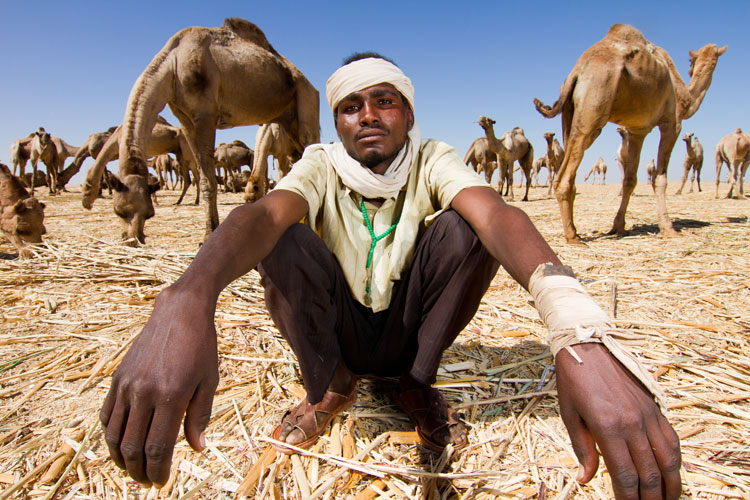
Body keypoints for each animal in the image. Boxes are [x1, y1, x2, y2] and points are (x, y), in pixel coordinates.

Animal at [94, 20, 318, 243]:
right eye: (118, 211)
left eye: (149, 213)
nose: (133, 239)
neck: (173, 64)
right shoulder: (184, 119)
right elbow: (202, 178)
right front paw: (209, 230)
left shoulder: (205, 115)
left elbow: (209, 179)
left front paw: (209, 233)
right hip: (287, 119)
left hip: (305, 98)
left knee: (309, 143)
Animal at [536, 24, 728, 243]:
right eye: (692, 60)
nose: (707, 63)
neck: (685, 95)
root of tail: (576, 73)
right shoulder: (672, 123)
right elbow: (660, 179)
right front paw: (668, 228)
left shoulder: (637, 131)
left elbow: (630, 180)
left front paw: (618, 227)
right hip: (595, 104)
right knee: (566, 174)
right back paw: (573, 238)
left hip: (570, 113)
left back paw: (575, 230)